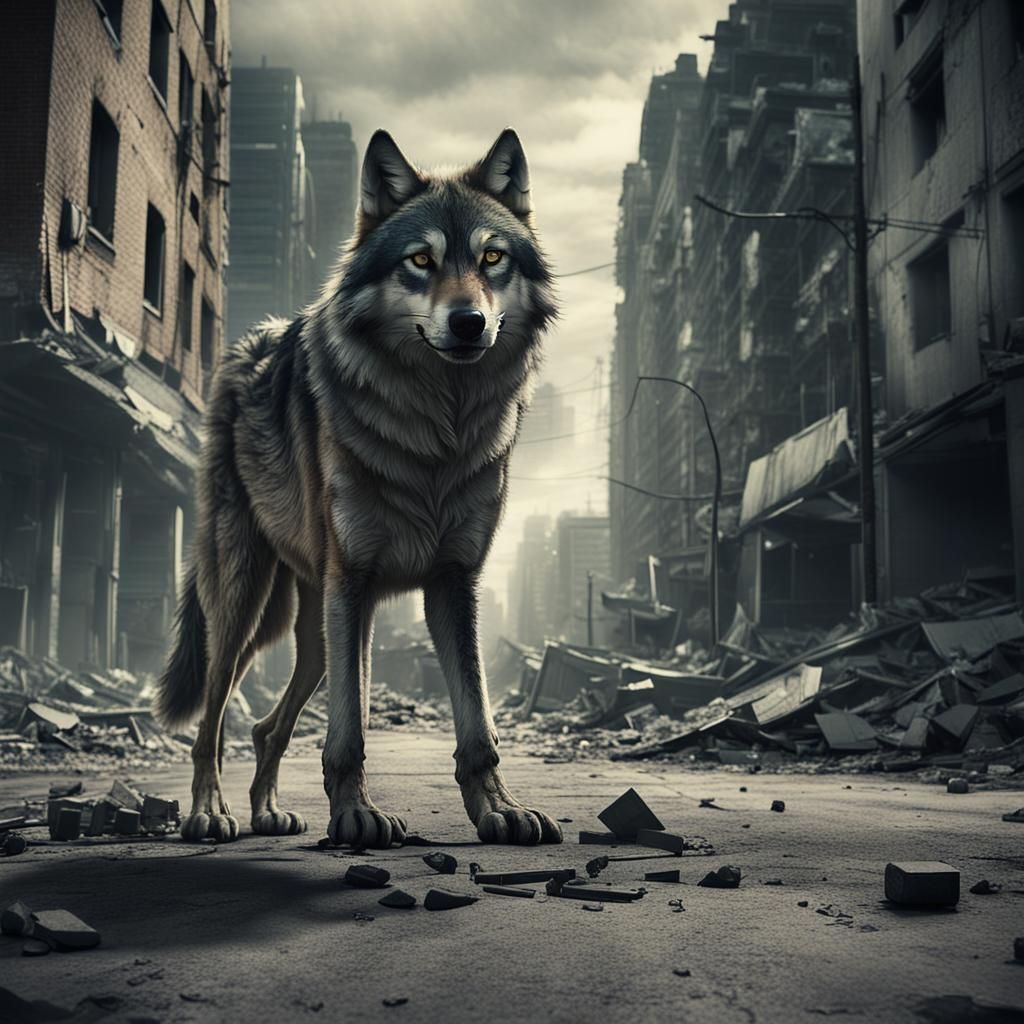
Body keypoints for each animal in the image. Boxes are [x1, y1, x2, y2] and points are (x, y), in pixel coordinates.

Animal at [156, 128, 562, 849]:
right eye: (421, 261)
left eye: (492, 258)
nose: (468, 322)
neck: (436, 433)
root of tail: (246, 346)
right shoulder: (354, 585)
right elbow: (348, 732)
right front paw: (356, 818)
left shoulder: (453, 582)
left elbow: (477, 721)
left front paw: (499, 808)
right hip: (247, 607)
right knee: (212, 720)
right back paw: (210, 813)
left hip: (314, 630)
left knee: (264, 726)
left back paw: (267, 812)